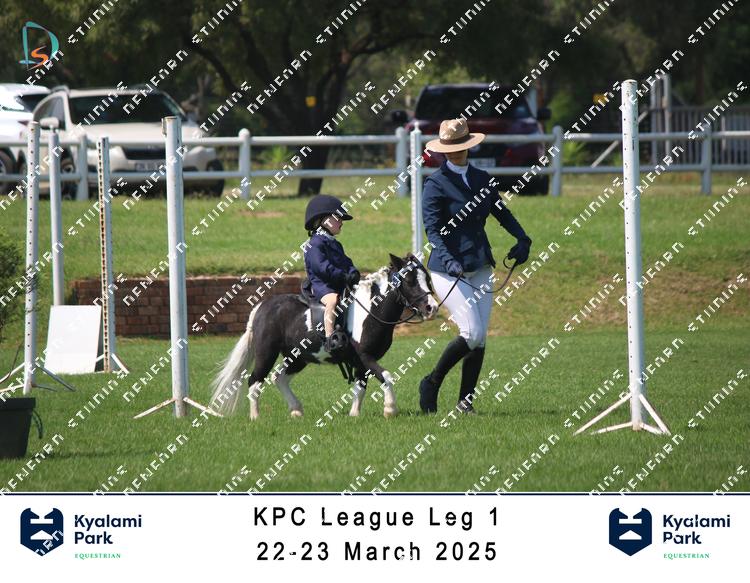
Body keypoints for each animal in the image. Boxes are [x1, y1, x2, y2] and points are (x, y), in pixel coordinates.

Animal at [209, 252, 439, 420]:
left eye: (427, 279)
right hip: (267, 354)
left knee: (279, 378)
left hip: (297, 357)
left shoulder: (361, 363)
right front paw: (390, 409)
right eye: (409, 281)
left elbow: (360, 387)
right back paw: (255, 417)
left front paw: (354, 415)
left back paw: (296, 410)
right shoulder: (365, 357)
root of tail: (261, 307)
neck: (371, 311)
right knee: (255, 381)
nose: (432, 308)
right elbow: (387, 376)